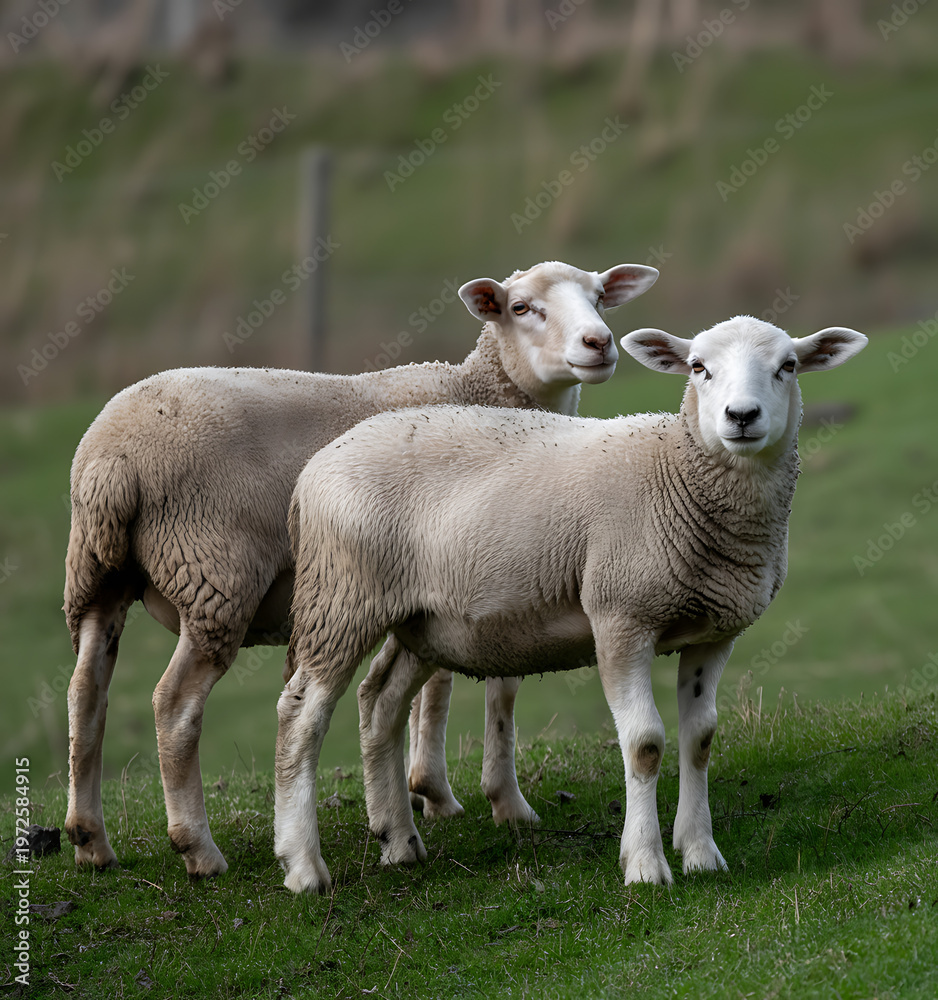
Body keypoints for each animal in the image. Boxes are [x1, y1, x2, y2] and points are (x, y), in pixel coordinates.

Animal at [63, 259, 659, 878]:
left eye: (600, 298)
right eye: (520, 308)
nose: (599, 343)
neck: (476, 390)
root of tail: (111, 462)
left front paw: (423, 794)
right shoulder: (469, 566)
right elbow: (472, 688)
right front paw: (475, 798)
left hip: (97, 577)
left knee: (86, 692)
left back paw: (90, 840)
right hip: (215, 577)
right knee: (175, 706)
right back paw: (199, 849)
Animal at [276, 316, 867, 893]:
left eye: (787, 366)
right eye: (699, 367)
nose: (741, 416)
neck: (676, 473)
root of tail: (313, 470)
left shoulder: (714, 632)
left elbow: (699, 739)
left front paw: (701, 852)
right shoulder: (621, 616)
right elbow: (645, 744)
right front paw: (645, 865)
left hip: (420, 621)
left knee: (381, 703)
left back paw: (398, 841)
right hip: (341, 598)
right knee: (302, 715)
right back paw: (304, 866)